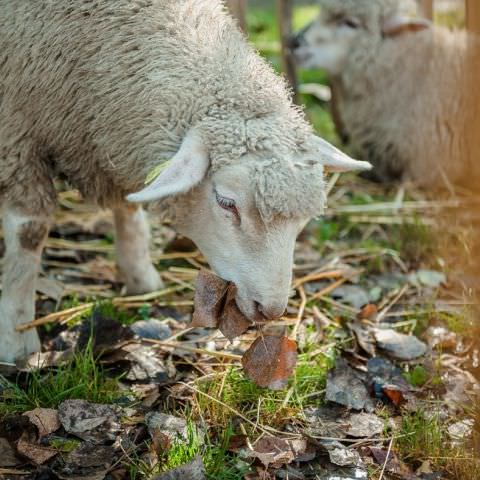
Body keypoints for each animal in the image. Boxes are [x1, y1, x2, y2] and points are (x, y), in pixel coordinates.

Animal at [0, 0, 372, 360]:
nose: (270, 310)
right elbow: (30, 230)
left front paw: (140, 276)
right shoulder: (15, 134)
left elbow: (130, 205)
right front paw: (17, 338)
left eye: (303, 221)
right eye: (226, 203)